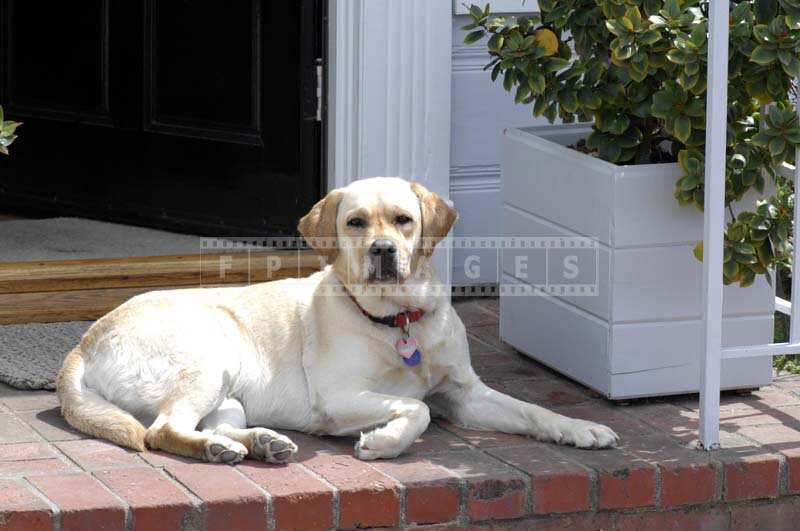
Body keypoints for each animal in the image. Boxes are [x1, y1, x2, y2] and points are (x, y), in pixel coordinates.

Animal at [57, 177, 620, 464]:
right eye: (355, 222)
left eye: (404, 220)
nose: (383, 251)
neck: (399, 319)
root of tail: (84, 342)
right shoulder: (339, 397)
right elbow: (417, 409)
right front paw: (385, 443)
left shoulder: (466, 393)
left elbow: (532, 411)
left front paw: (582, 429)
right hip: (208, 360)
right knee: (162, 431)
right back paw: (221, 449)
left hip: (229, 393)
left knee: (207, 424)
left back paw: (257, 443)